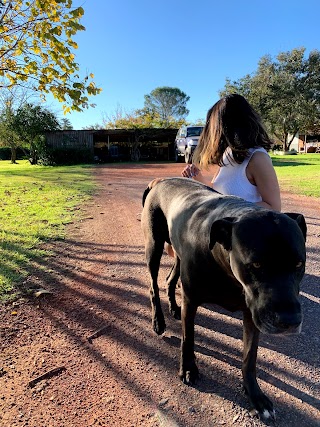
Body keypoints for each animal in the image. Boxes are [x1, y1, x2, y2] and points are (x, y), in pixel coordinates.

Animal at [141, 177, 306, 422]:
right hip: (154, 245)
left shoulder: (251, 315)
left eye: (298, 264)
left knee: (170, 278)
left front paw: (255, 396)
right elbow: (187, 339)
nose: (290, 321)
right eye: (256, 264)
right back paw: (158, 321)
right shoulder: (191, 301)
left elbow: (249, 358)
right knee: (153, 285)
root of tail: (160, 180)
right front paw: (188, 369)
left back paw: (172, 307)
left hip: (177, 255)